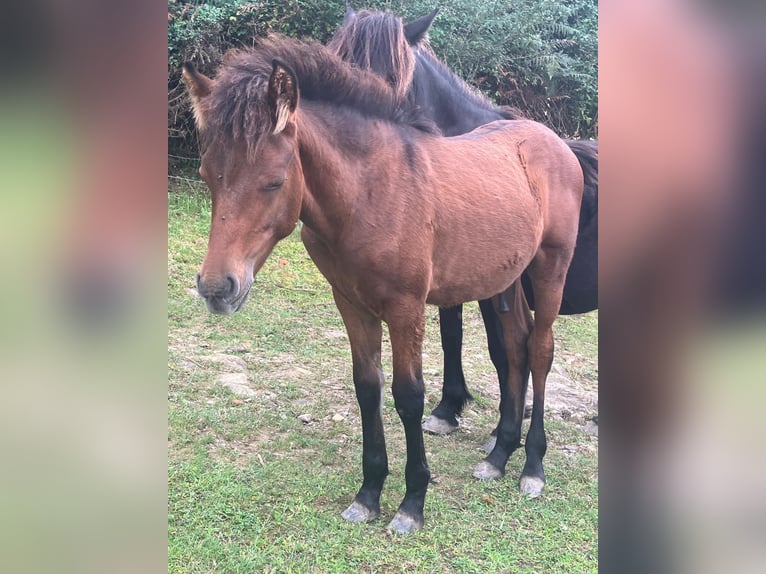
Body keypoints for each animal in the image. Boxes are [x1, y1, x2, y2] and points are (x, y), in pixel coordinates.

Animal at [184, 35, 584, 532]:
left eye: (274, 182)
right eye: (207, 176)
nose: (216, 288)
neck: (370, 193)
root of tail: (555, 142)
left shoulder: (406, 308)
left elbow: (408, 397)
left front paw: (412, 503)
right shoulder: (351, 303)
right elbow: (367, 388)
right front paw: (368, 494)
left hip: (550, 268)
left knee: (541, 350)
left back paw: (532, 467)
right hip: (505, 280)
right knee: (515, 346)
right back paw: (498, 456)